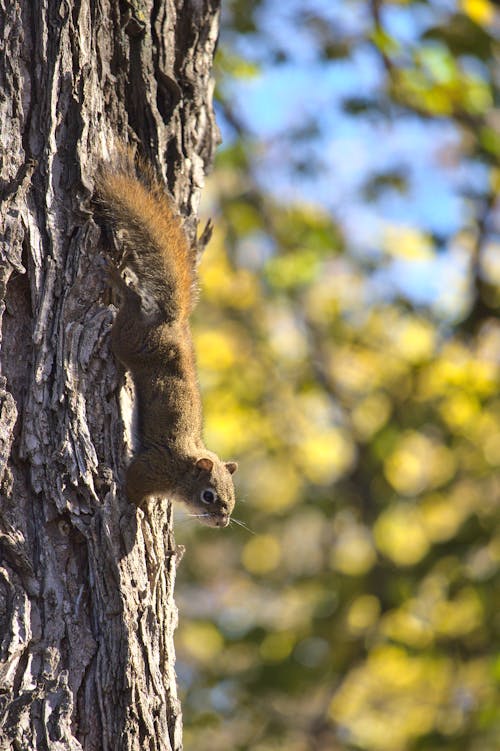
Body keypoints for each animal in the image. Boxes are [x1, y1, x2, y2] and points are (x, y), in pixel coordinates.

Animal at [98, 148, 240, 528]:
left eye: (233, 499)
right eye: (209, 495)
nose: (222, 521)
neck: (183, 470)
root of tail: (172, 322)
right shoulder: (153, 468)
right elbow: (133, 485)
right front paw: (138, 509)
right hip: (132, 341)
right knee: (130, 311)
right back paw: (120, 281)